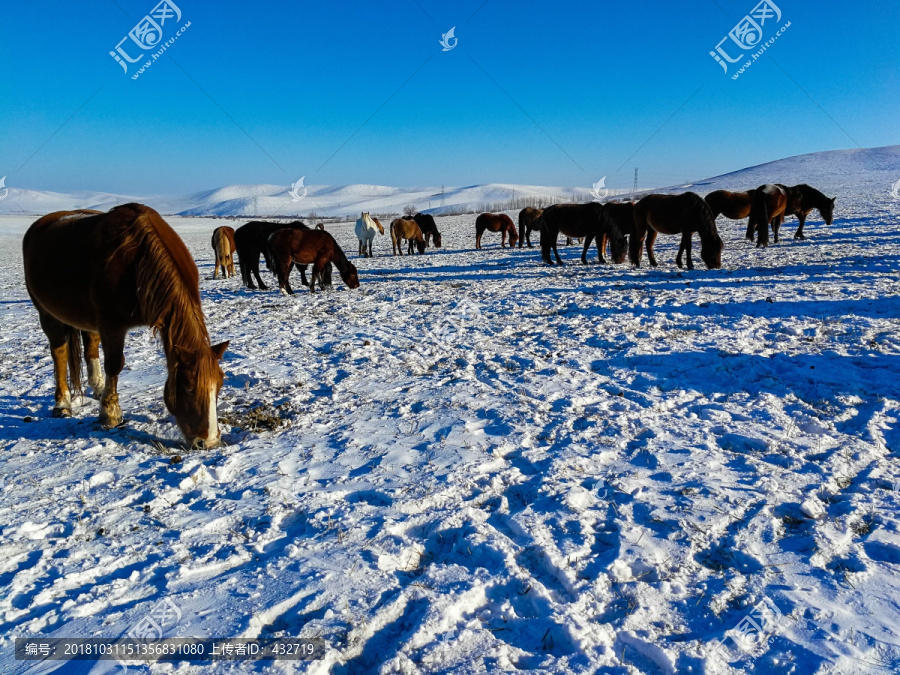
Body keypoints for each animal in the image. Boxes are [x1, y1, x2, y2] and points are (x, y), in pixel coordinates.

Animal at [24, 206, 230, 448]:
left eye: (219, 385)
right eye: (189, 387)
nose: (209, 441)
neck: (137, 263)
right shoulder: (112, 325)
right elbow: (114, 364)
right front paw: (110, 414)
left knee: (90, 345)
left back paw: (97, 387)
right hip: (47, 315)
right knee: (59, 352)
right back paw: (62, 403)